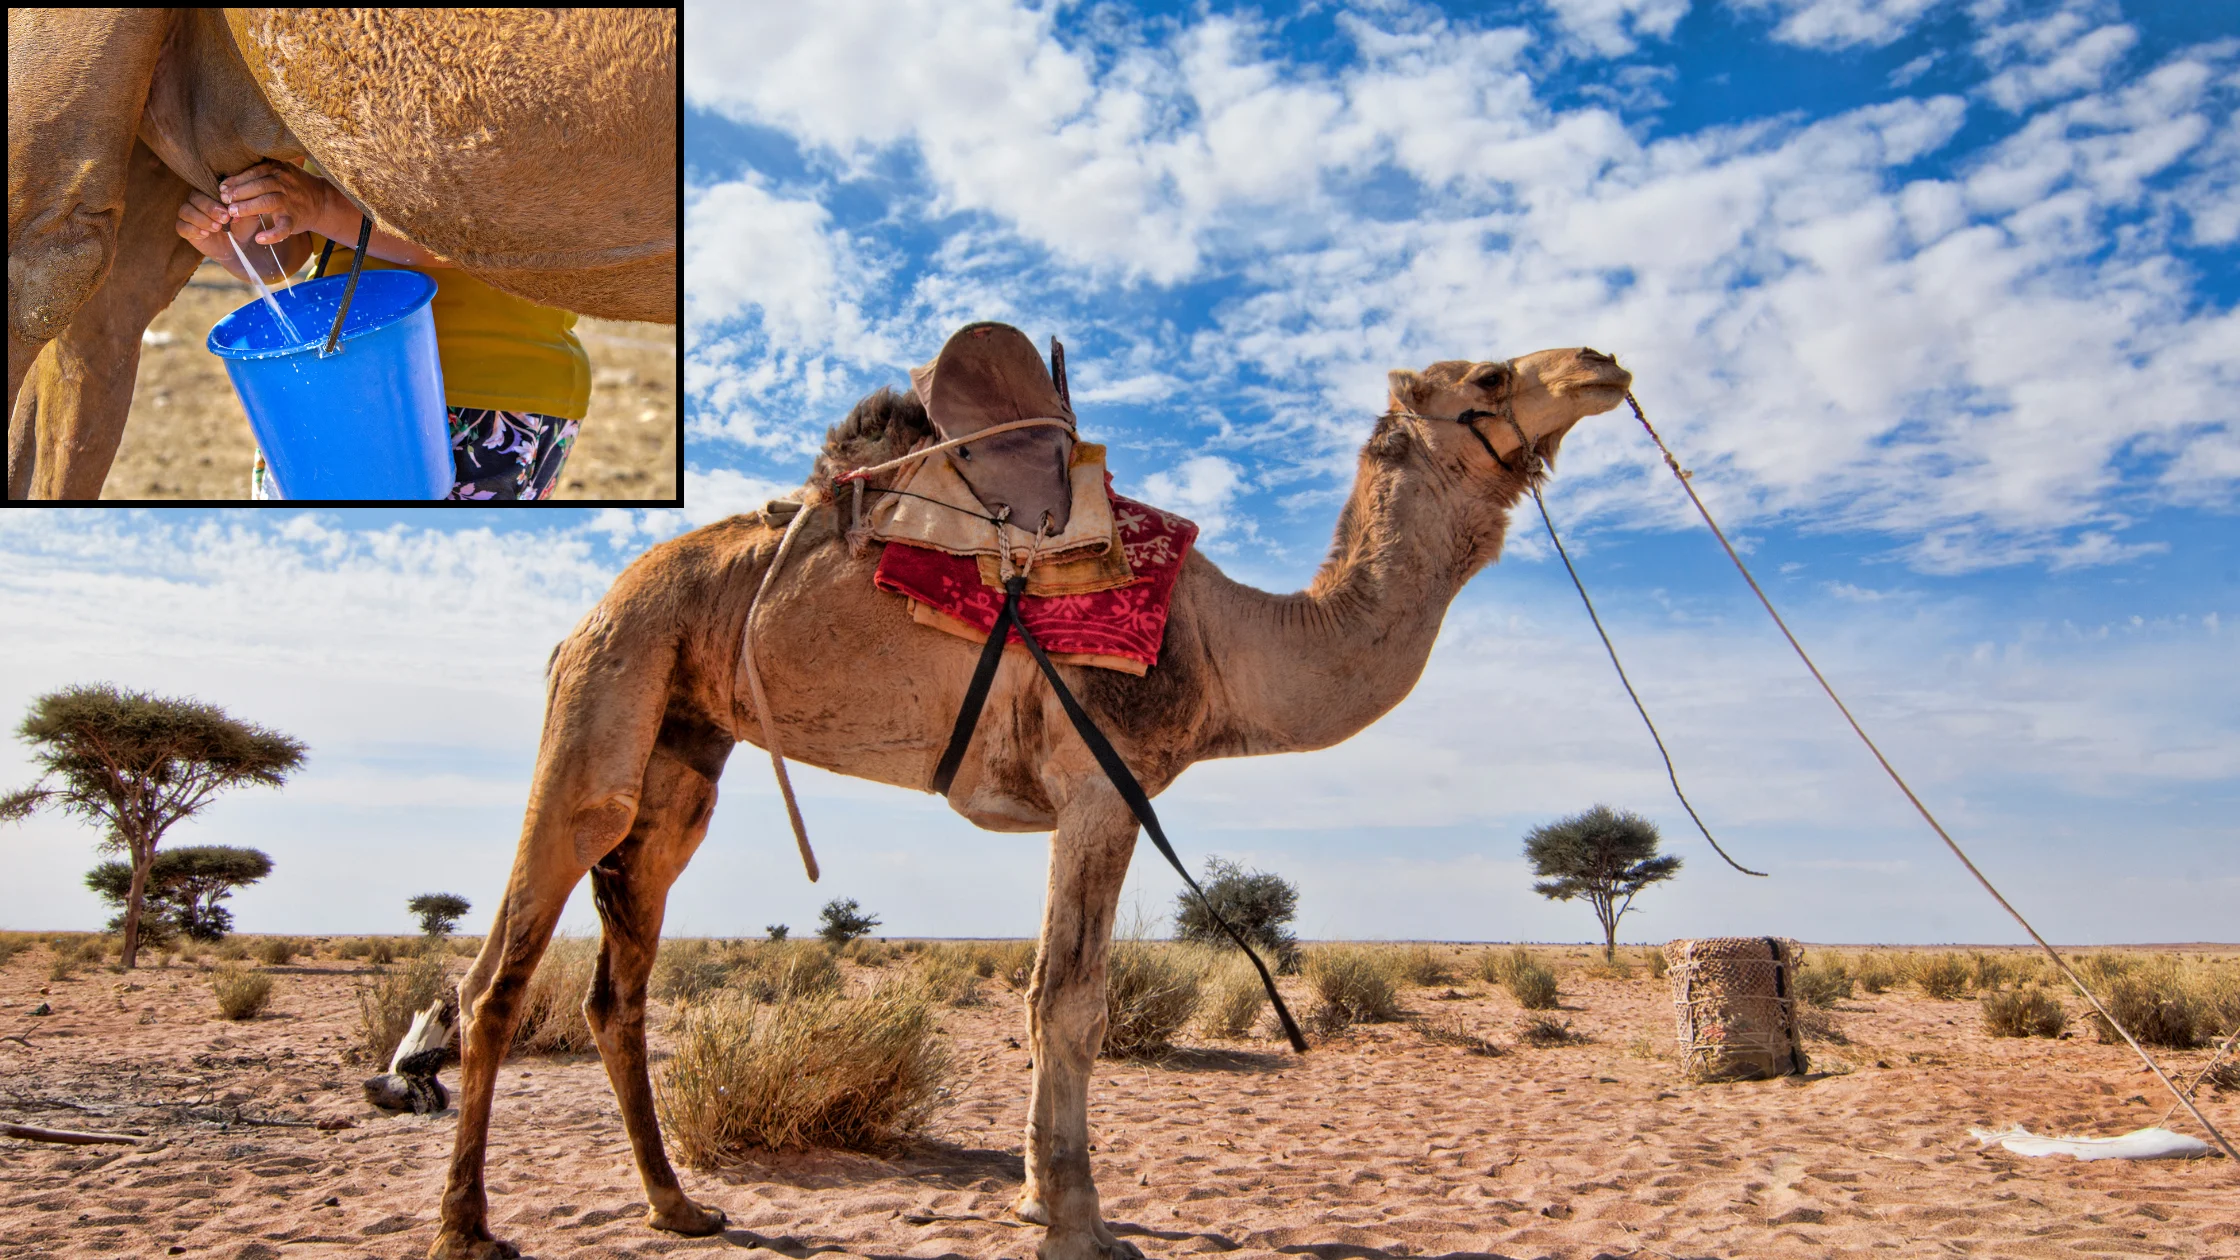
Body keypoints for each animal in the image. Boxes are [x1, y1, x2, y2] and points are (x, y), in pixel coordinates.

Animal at [432, 346, 1634, 1260]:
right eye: (1488, 376)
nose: (1600, 363)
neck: (1230, 647)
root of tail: (597, 604)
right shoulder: (1104, 785)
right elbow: (1071, 1002)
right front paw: (1077, 1224)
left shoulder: (1078, 800)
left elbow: (1035, 992)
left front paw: (1028, 1197)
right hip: (605, 693)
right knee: (500, 971)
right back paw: (467, 1228)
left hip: (684, 749)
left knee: (618, 981)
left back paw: (677, 1207)